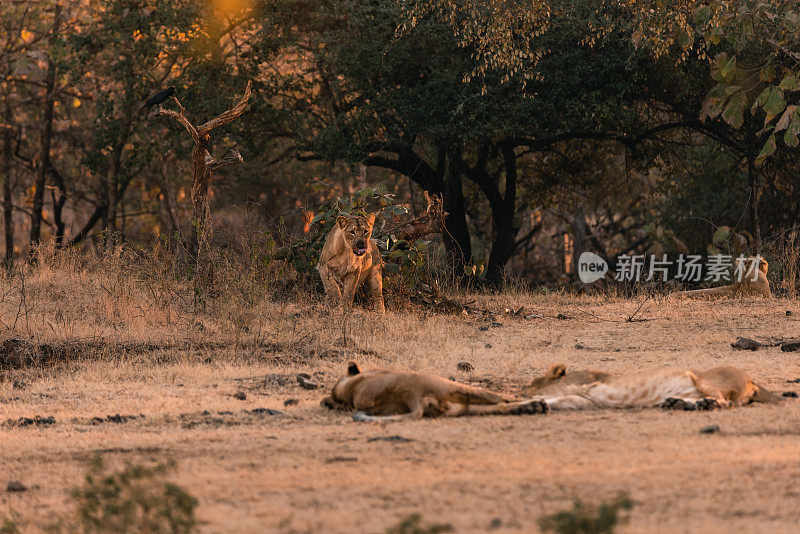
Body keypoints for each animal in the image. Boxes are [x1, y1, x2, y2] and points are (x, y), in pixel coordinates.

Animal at [322, 364, 548, 422]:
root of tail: (412, 397)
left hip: (462, 407)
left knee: (500, 406)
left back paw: (532, 407)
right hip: (455, 387)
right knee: (501, 399)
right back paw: (537, 403)